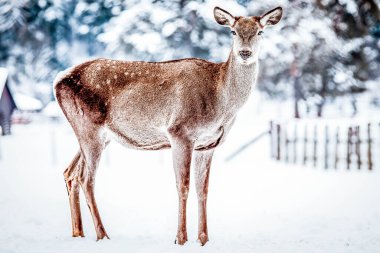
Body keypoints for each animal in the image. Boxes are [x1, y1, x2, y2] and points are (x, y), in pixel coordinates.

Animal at [54, 5, 282, 245]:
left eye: (260, 32)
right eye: (233, 31)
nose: (245, 53)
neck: (222, 104)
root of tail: (58, 80)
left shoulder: (208, 145)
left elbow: (203, 189)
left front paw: (203, 239)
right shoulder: (180, 132)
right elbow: (183, 186)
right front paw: (180, 238)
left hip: (98, 135)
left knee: (70, 172)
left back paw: (78, 233)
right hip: (89, 127)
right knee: (86, 178)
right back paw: (102, 235)